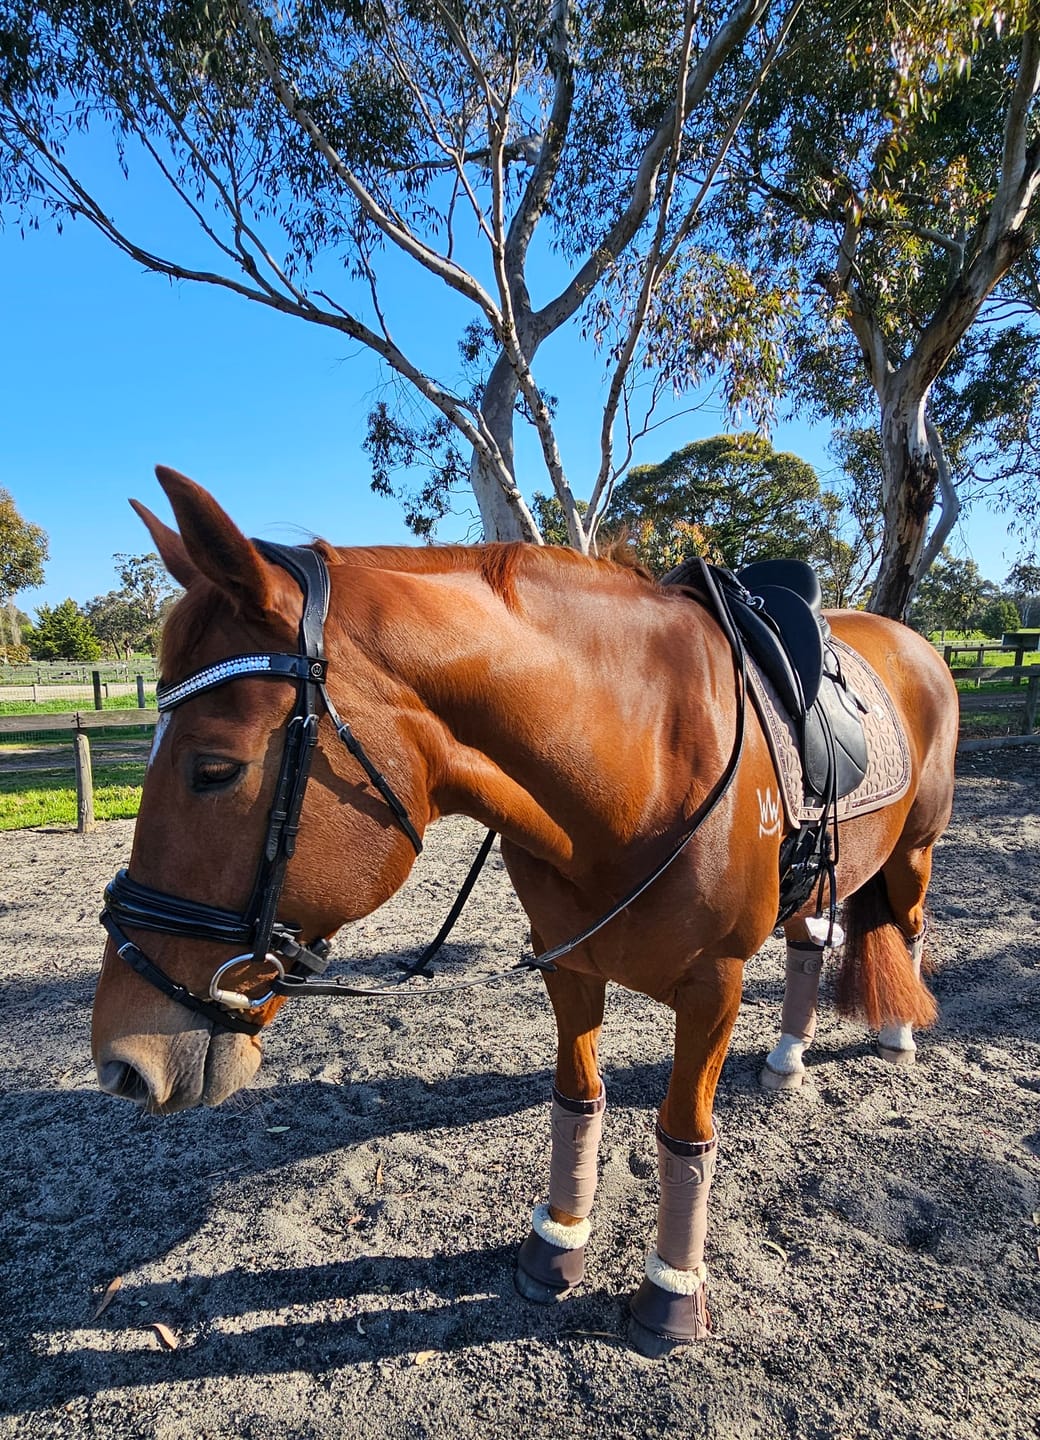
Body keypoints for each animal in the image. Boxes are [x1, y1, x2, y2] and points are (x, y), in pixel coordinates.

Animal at [91, 468, 959, 1356]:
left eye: (215, 769)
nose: (122, 1062)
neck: (641, 761)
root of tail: (913, 640)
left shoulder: (714, 985)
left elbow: (684, 1132)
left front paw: (671, 1294)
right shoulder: (567, 962)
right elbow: (577, 1101)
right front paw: (557, 1244)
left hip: (915, 851)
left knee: (909, 927)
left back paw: (897, 1033)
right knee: (811, 941)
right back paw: (787, 1058)